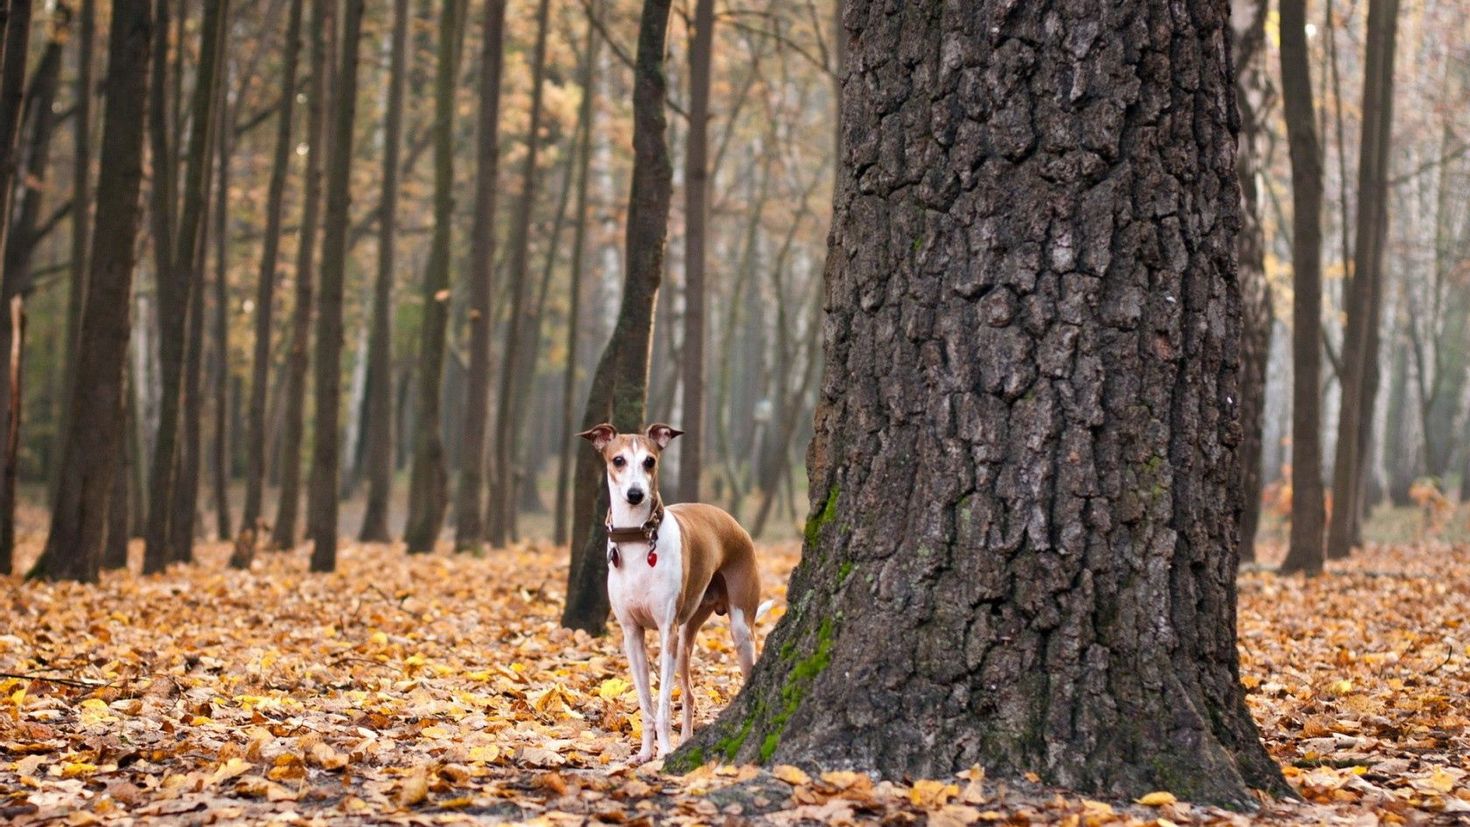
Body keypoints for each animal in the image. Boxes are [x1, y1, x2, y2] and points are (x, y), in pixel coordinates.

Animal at [576, 423, 770, 769]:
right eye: (618, 460)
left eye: (650, 461)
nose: (635, 494)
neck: (638, 540)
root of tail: (732, 522)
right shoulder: (632, 634)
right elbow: (646, 702)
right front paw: (644, 752)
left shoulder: (666, 630)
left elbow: (664, 704)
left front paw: (664, 752)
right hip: (685, 638)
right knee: (690, 693)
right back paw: (686, 740)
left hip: (738, 628)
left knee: (744, 673)